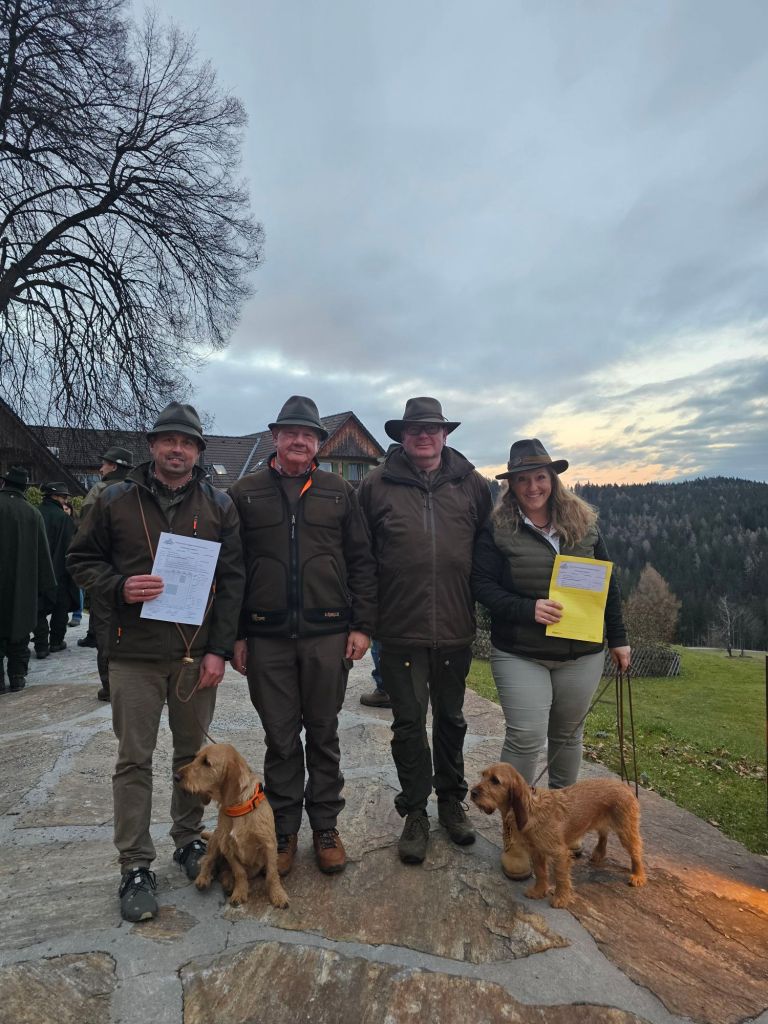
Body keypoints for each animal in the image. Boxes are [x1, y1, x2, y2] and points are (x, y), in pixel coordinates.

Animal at [174, 743, 289, 909]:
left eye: (206, 762)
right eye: (195, 758)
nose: (175, 777)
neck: (239, 809)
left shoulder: (269, 845)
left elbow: (272, 874)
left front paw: (278, 895)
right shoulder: (226, 846)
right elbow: (239, 872)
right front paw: (239, 892)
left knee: (223, 871)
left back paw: (227, 883)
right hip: (215, 842)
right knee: (208, 860)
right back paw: (204, 879)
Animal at [470, 762, 646, 908]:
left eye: (495, 780)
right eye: (483, 775)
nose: (472, 792)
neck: (532, 810)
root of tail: (624, 785)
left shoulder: (560, 854)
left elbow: (561, 877)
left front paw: (561, 898)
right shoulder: (536, 852)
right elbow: (541, 873)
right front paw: (539, 891)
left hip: (626, 831)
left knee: (636, 851)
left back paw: (638, 875)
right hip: (601, 822)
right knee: (604, 834)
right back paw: (598, 853)